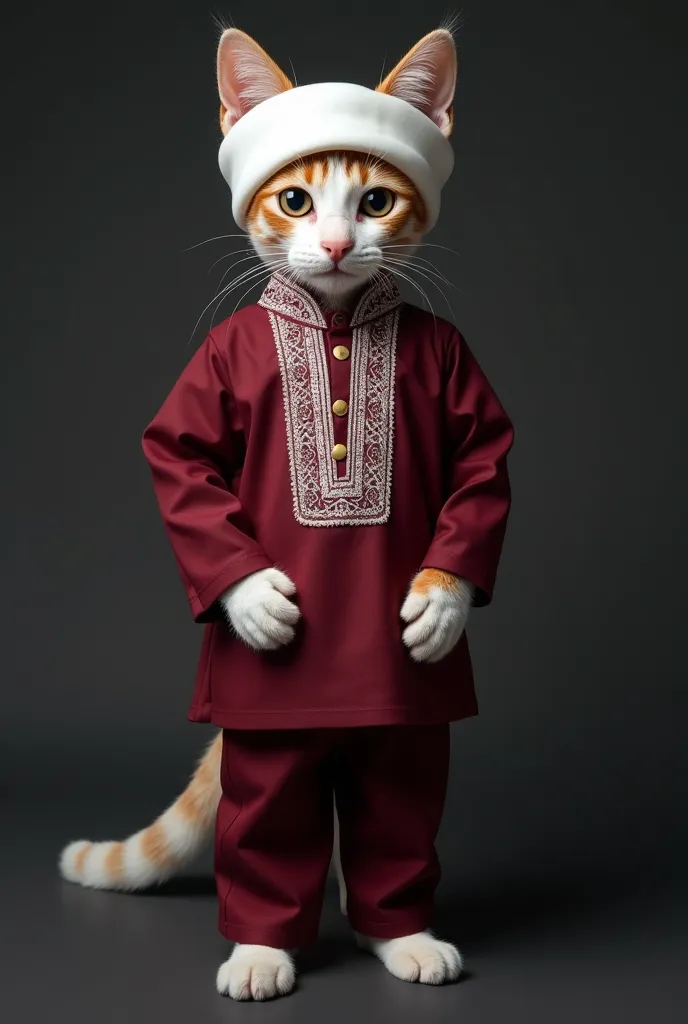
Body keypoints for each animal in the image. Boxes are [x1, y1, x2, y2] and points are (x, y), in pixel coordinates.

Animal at [59, 24, 513, 999]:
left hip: (400, 741)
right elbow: (183, 466)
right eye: (297, 200)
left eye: (375, 201)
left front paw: (441, 603)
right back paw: (265, 948)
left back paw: (396, 930)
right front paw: (256, 599)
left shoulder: (462, 383)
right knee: (267, 813)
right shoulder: (207, 379)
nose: (338, 244)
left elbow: (482, 472)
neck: (335, 320)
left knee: (394, 799)